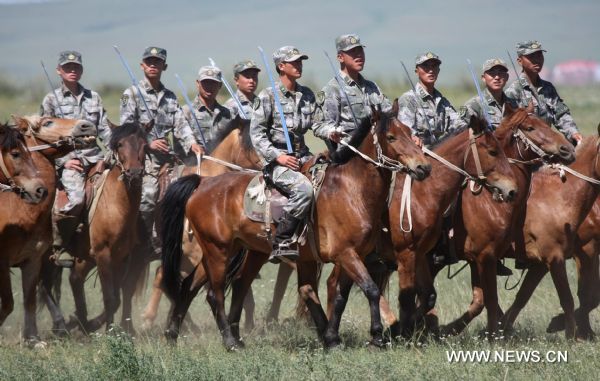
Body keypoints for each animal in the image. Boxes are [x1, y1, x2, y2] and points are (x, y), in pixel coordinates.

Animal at [0, 114, 95, 342]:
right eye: (47, 122)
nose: (86, 125)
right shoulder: (3, 263)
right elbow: (7, 304)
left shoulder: (33, 260)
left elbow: (29, 300)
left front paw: (33, 340)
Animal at [159, 105, 432, 348]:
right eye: (391, 136)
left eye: (409, 132)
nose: (423, 167)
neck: (351, 190)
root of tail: (203, 183)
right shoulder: (346, 254)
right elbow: (371, 290)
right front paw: (375, 336)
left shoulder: (353, 255)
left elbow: (340, 295)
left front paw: (332, 338)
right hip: (218, 251)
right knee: (214, 293)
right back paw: (229, 341)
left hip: (239, 251)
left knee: (203, 285)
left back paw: (175, 335)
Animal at [436, 103, 576, 336]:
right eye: (529, 127)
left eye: (546, 122)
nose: (568, 150)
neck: (491, 201)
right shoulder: (484, 256)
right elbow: (490, 300)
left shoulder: (480, 259)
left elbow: (482, 301)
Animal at [500, 125, 600, 338]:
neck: (559, 198)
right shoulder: (576, 253)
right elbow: (581, 296)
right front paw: (572, 331)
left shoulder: (543, 263)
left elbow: (523, 295)